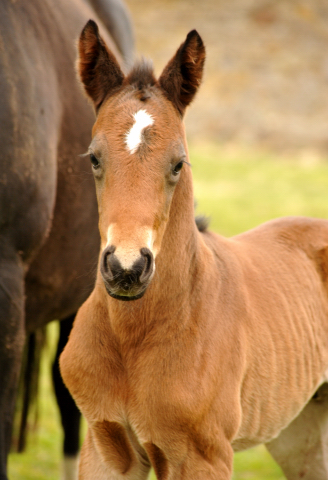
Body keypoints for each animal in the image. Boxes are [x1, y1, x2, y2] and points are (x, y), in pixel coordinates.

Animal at [59, 20, 328, 478]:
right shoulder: (105, 446)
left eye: (178, 163)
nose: (127, 268)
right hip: (300, 430)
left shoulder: (203, 456)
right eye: (94, 158)